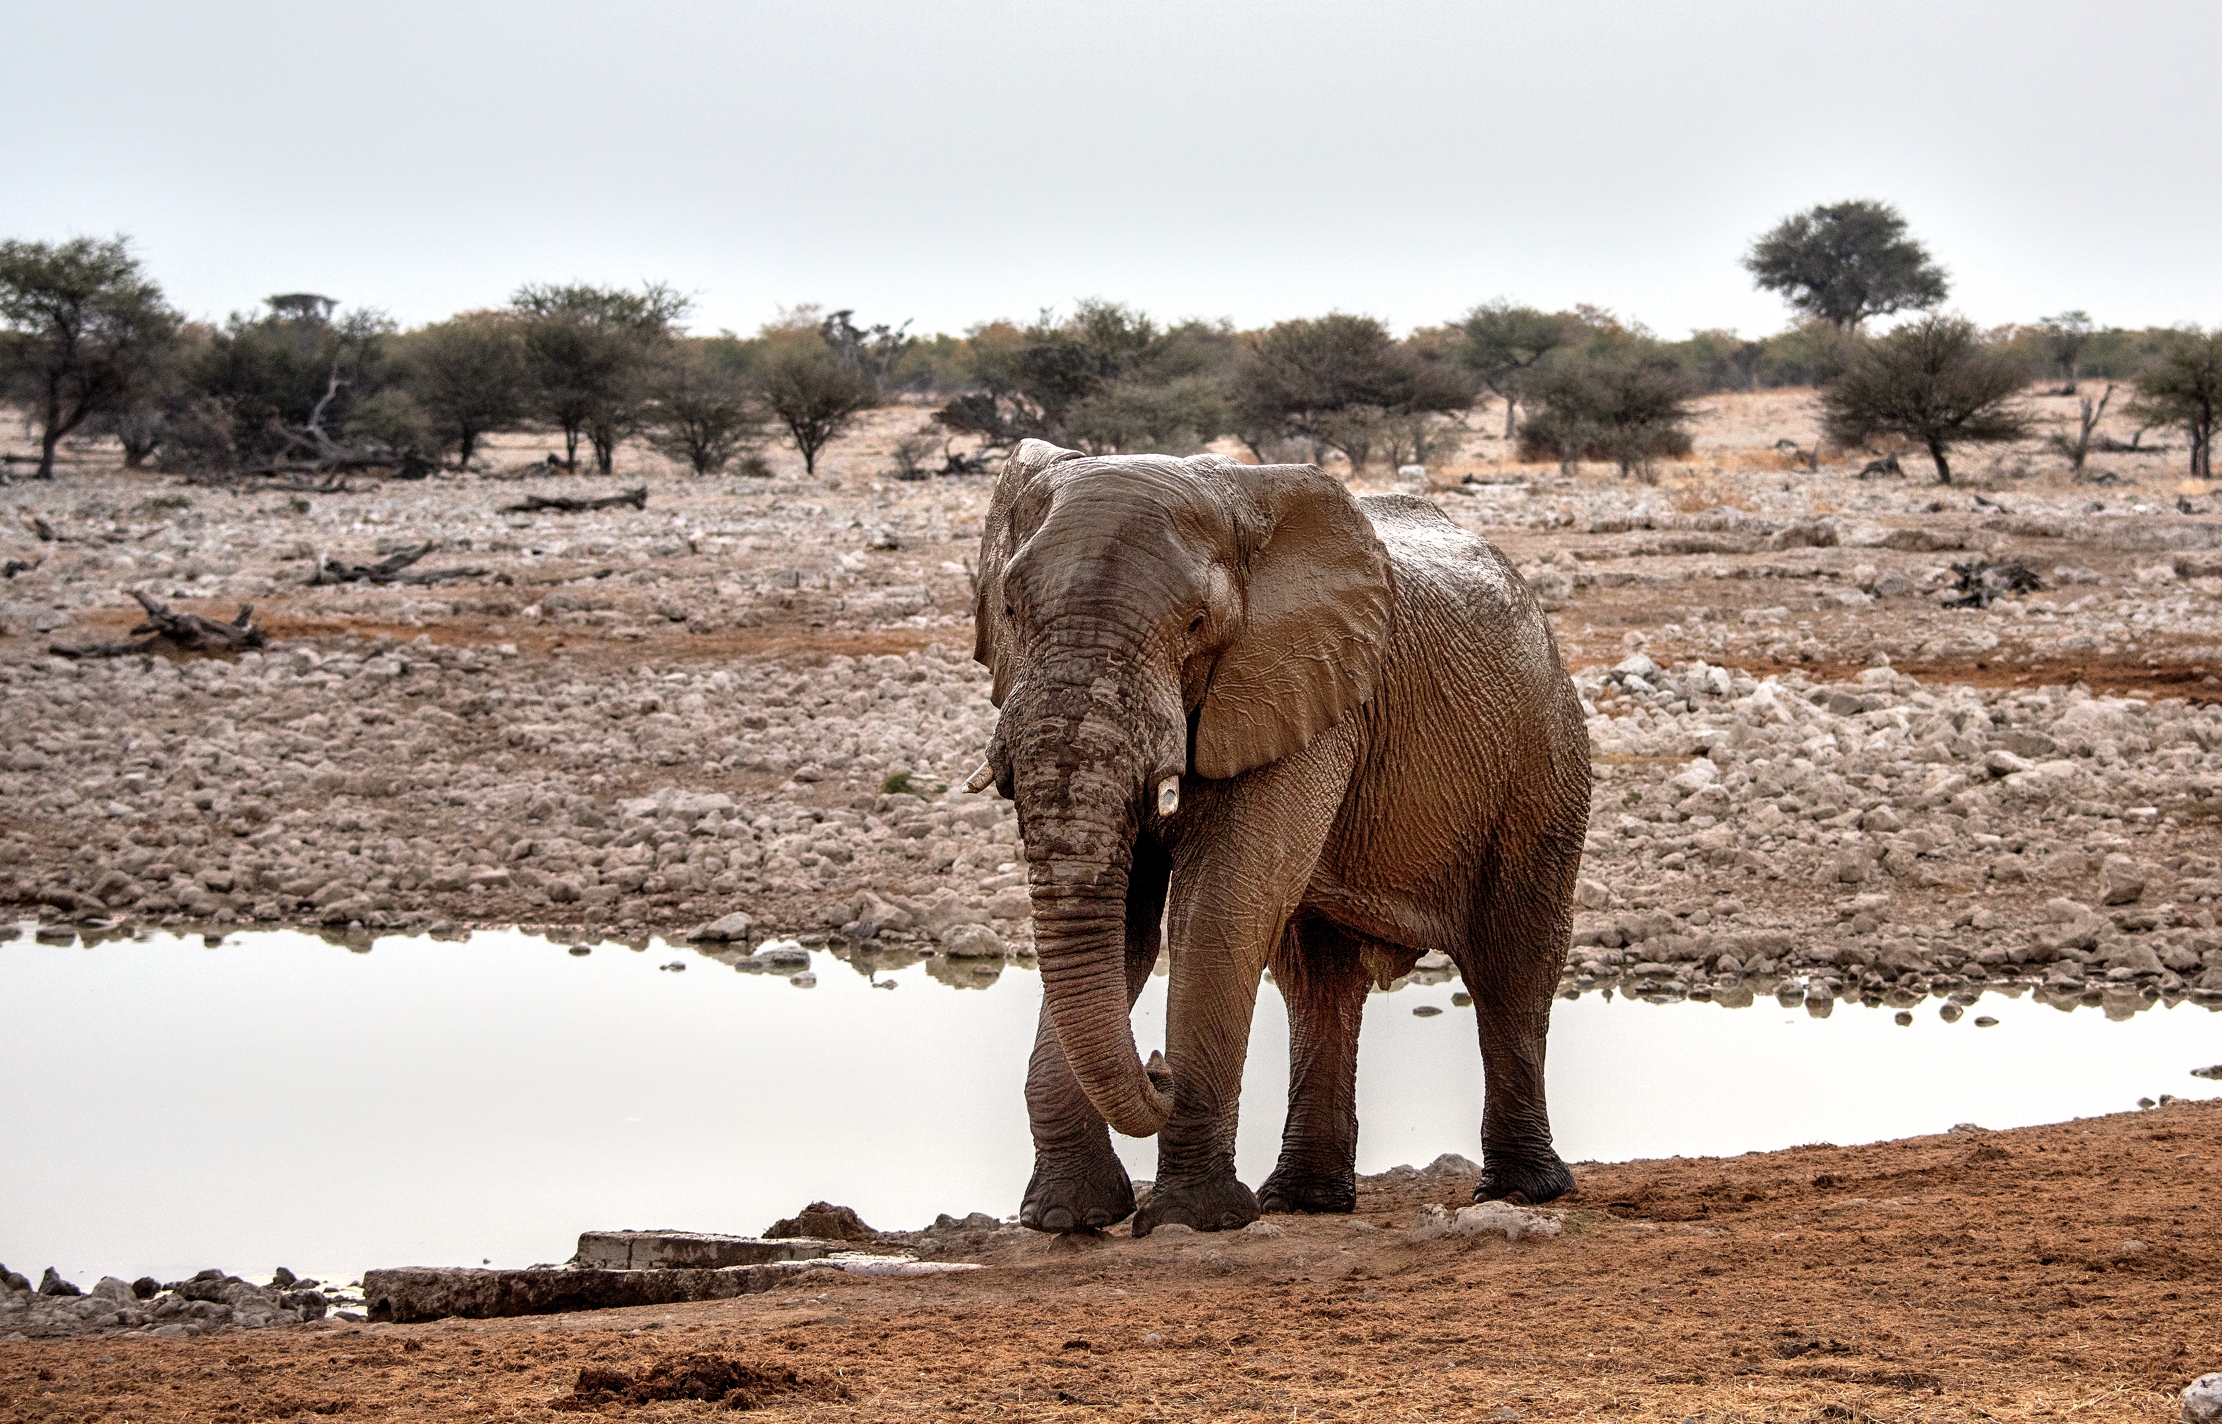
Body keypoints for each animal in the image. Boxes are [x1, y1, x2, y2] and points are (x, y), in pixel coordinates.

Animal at [967, 439, 1590, 1237]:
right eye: (1012, 610)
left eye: (1198, 623)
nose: (1157, 1066)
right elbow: (1126, 923)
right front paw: (1065, 1218)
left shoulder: (1305, 688)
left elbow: (1217, 904)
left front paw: (1189, 1222)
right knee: (1318, 982)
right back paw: (1302, 1202)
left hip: (1544, 762)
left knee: (1514, 962)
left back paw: (1522, 1192)